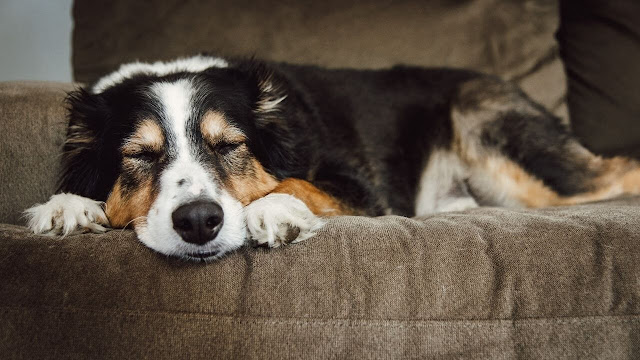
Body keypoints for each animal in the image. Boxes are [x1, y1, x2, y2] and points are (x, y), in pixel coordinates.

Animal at [25, 54, 640, 260]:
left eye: (230, 146)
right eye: (140, 156)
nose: (199, 222)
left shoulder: (361, 191)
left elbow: (294, 183)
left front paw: (271, 210)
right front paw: (66, 207)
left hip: (515, 158)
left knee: (619, 171)